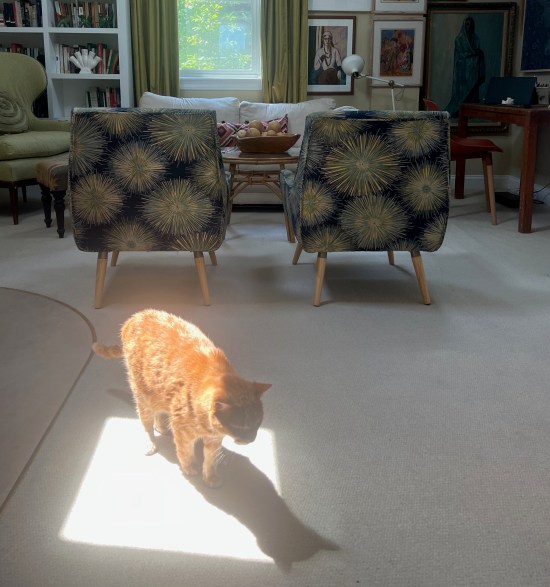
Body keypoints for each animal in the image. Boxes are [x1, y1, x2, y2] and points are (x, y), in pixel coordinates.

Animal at [92, 309, 271, 487]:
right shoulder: (183, 433)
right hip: (143, 398)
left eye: (257, 423)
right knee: (147, 425)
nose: (251, 439)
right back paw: (152, 441)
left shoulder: (214, 439)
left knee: (158, 414)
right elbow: (185, 452)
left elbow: (210, 460)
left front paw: (210, 476)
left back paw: (162, 428)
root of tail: (135, 316)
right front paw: (189, 468)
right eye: (239, 426)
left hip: (157, 394)